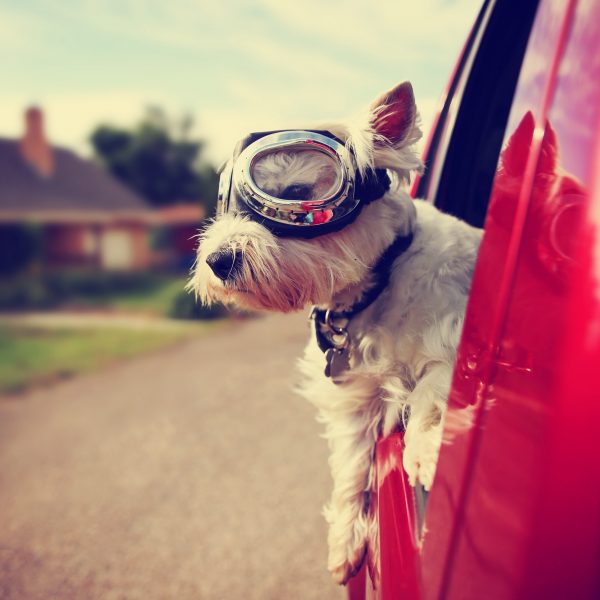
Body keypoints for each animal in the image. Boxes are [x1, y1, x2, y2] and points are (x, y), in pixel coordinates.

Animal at [192, 82, 482, 584]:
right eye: (225, 204)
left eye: (296, 193)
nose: (217, 261)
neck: (375, 287)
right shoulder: (355, 398)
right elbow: (351, 465)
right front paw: (346, 541)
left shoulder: (453, 334)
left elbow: (432, 388)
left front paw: (426, 450)